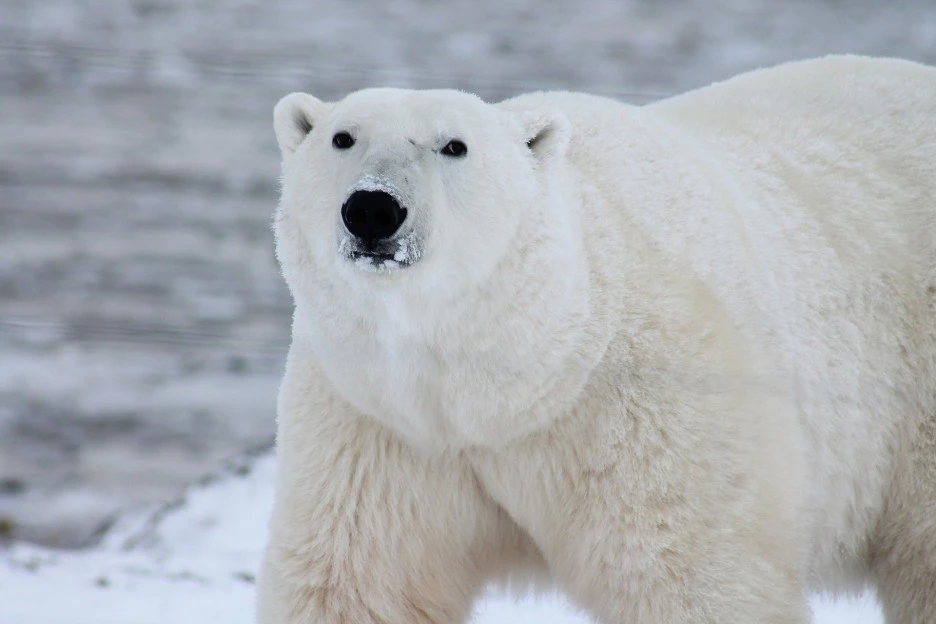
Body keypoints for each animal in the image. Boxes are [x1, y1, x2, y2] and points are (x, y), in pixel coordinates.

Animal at [257, 55, 936, 624]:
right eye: (343, 137)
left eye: (454, 145)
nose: (373, 209)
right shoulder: (379, 423)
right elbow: (360, 581)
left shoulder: (647, 407)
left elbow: (690, 576)